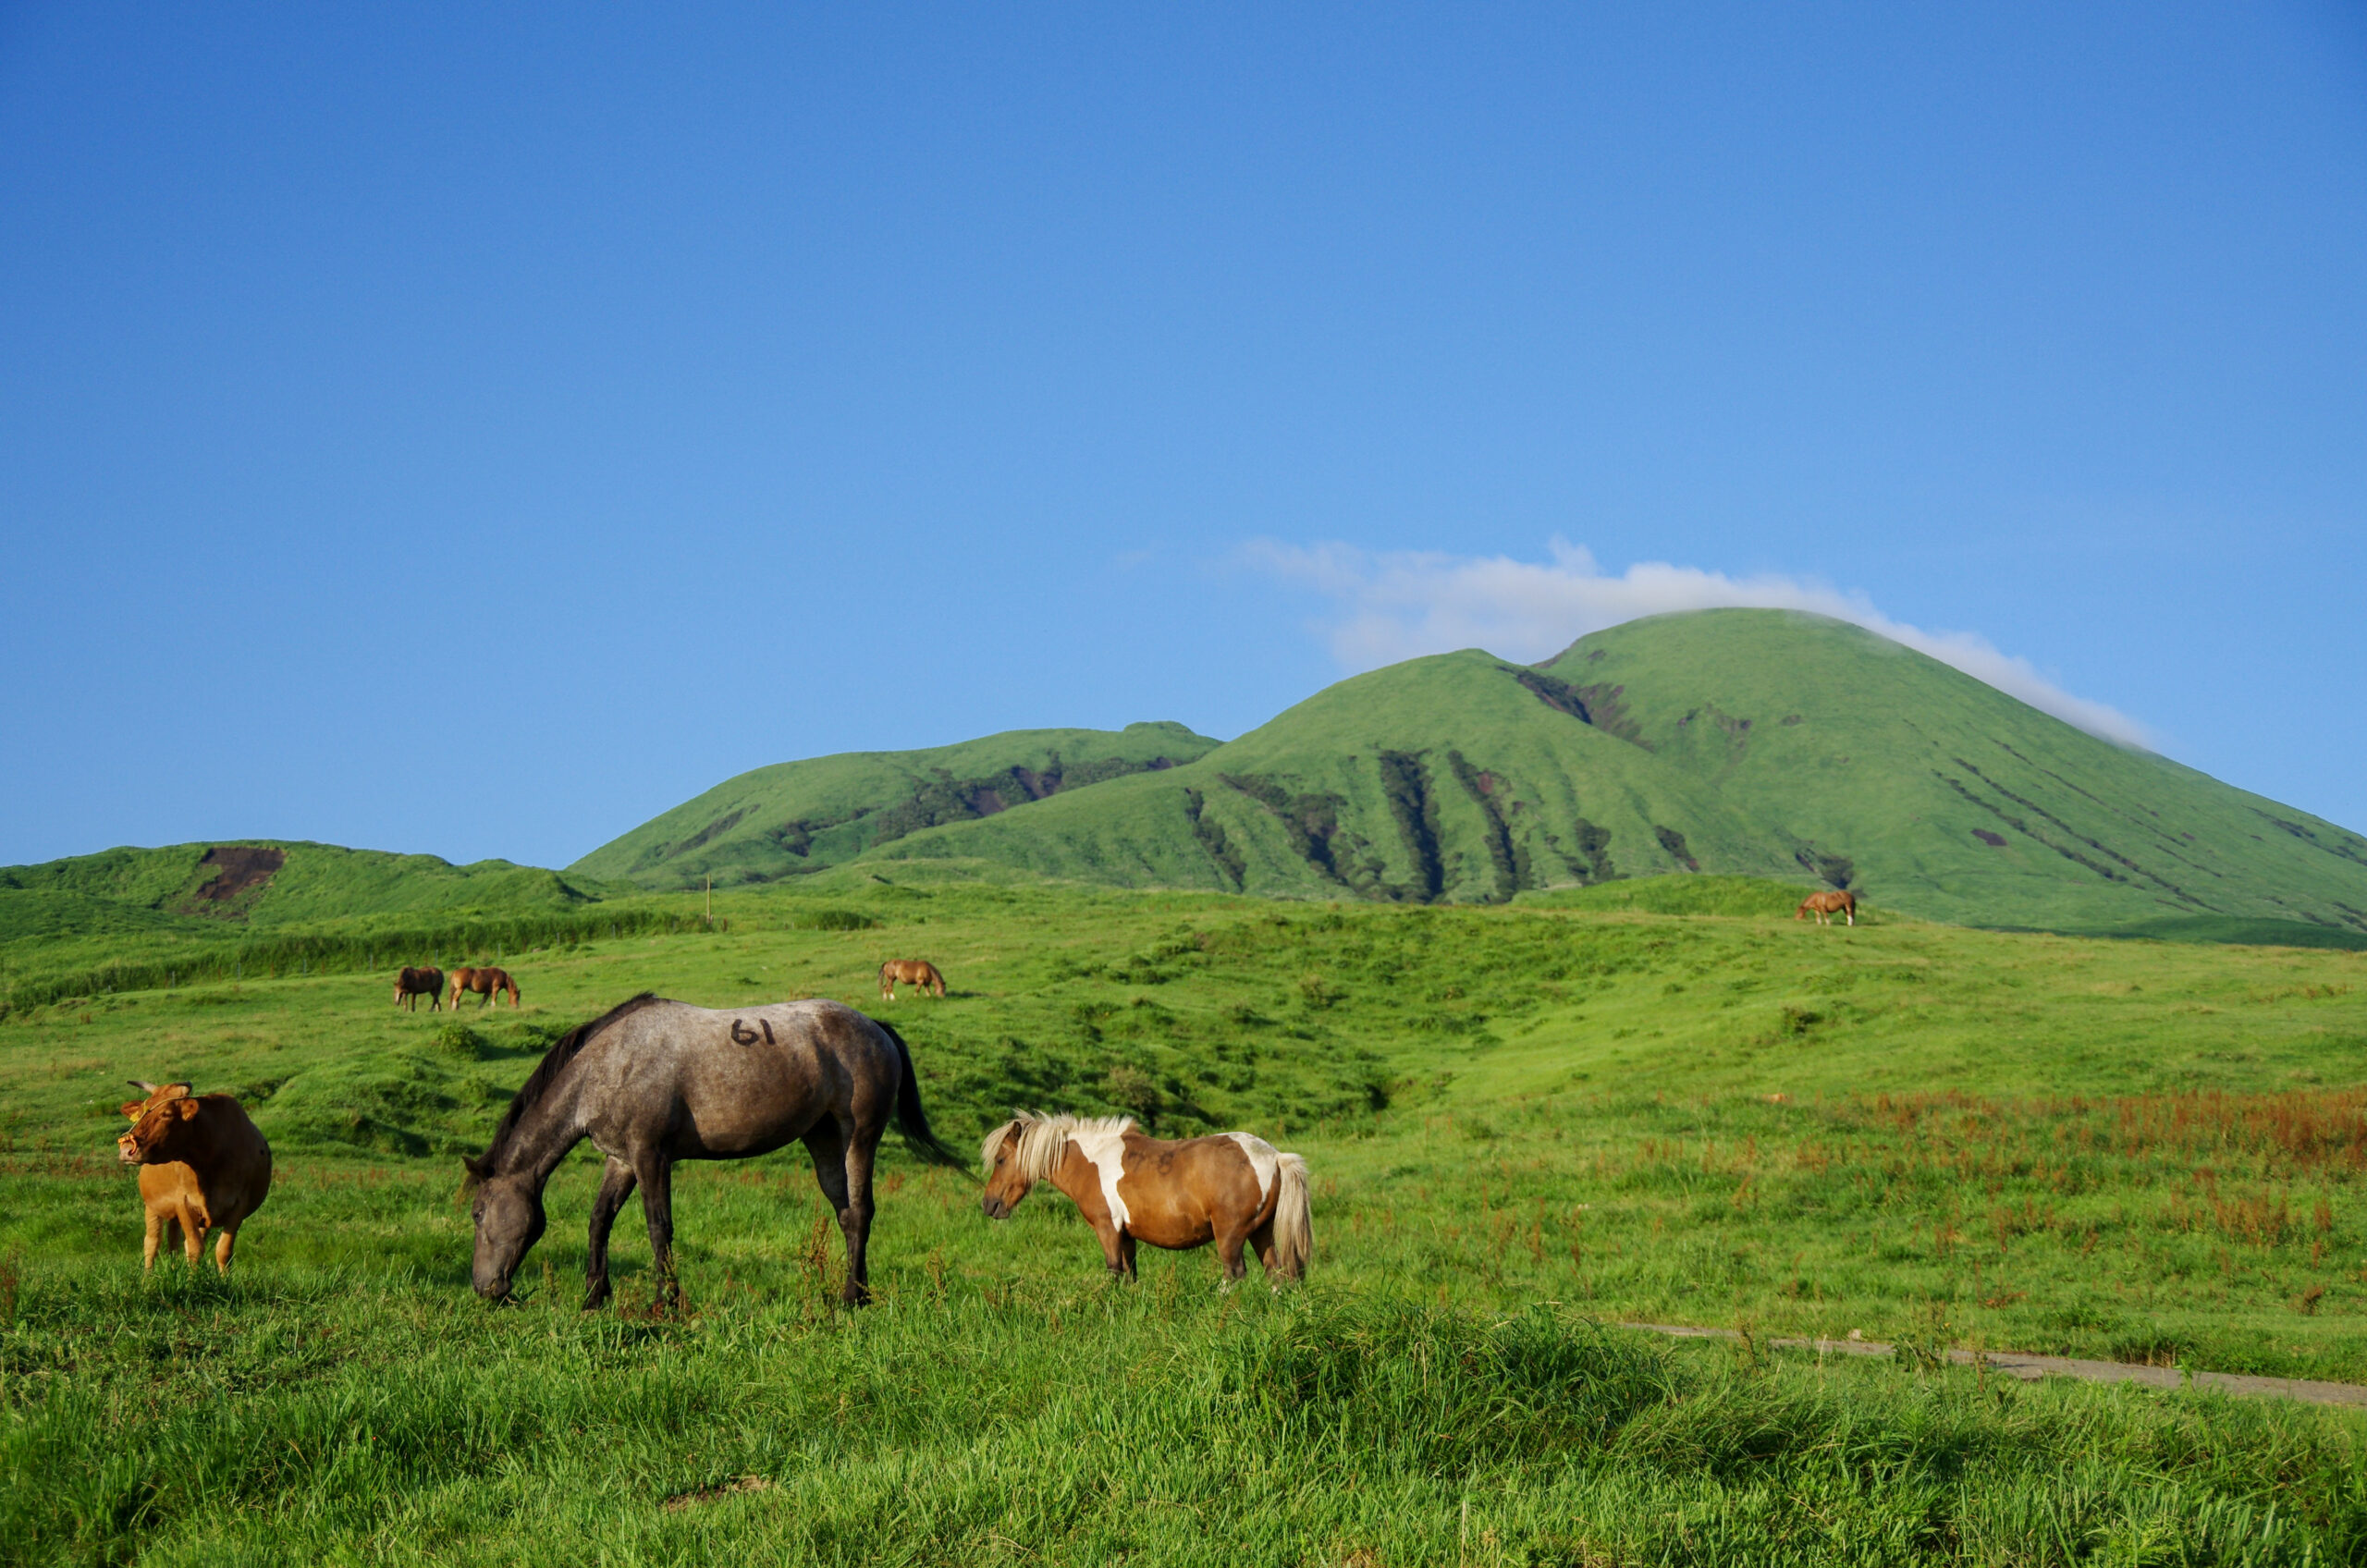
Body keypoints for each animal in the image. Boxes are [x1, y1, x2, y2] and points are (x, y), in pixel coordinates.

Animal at [462, 993, 964, 1311]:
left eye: (477, 1213)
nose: (485, 1289)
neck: (607, 1065)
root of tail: (877, 1027)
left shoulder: (650, 1155)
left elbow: (658, 1227)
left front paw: (666, 1303)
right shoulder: (620, 1160)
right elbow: (599, 1220)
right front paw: (593, 1297)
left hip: (859, 1137)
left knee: (859, 1212)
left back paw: (853, 1298)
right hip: (824, 1142)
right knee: (846, 1215)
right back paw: (853, 1292)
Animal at [980, 1112, 1311, 1287]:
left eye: (1000, 1160)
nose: (988, 1204)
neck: (1091, 1162)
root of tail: (1274, 1156)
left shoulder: (1107, 1229)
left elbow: (1114, 1272)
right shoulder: (1127, 1235)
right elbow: (1131, 1276)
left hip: (1230, 1236)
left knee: (1234, 1275)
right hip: (1261, 1232)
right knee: (1275, 1274)